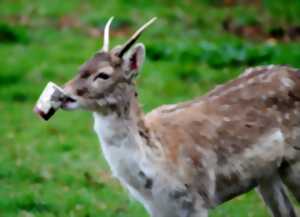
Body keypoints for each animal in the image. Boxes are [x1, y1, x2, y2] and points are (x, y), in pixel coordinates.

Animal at [35, 17, 300, 217]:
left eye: (103, 75)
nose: (64, 94)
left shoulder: (198, 198)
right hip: (267, 173)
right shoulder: (158, 208)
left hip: (294, 161)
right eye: (82, 66)